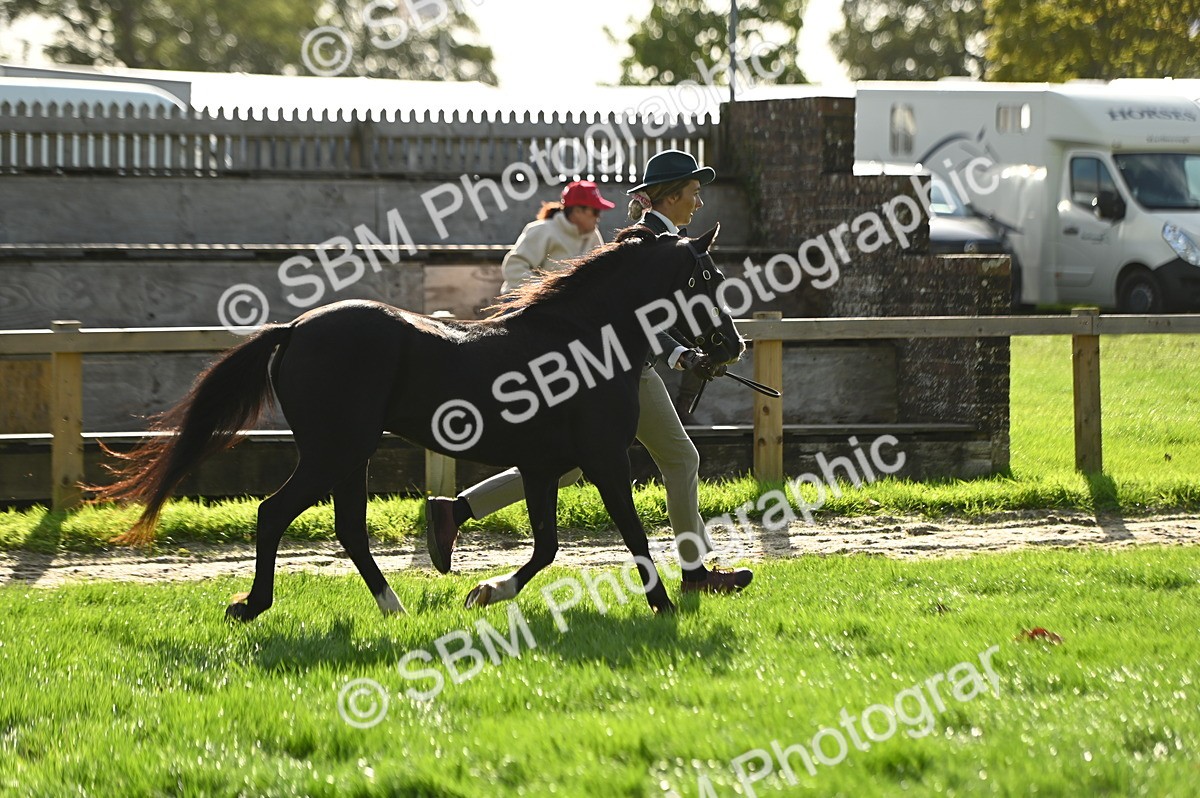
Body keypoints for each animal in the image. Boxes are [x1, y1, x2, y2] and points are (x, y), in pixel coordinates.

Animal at [94, 225, 744, 621]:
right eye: (707, 279)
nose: (730, 346)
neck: (584, 340)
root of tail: (296, 329)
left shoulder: (542, 468)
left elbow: (546, 548)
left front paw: (484, 590)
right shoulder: (605, 459)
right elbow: (632, 536)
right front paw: (665, 607)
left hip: (349, 457)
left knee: (349, 530)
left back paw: (394, 608)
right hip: (333, 452)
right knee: (273, 513)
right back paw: (252, 606)